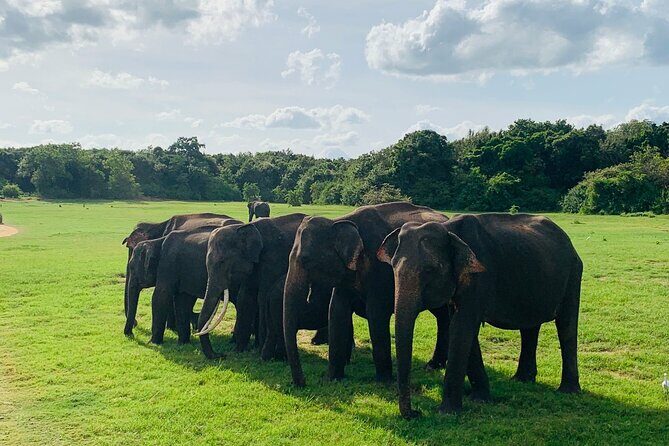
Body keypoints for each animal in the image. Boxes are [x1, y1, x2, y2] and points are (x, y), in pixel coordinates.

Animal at [195, 213, 330, 361]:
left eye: (222, 262)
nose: (221, 355)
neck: (244, 228)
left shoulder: (273, 260)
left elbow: (263, 297)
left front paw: (258, 352)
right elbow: (245, 298)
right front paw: (239, 350)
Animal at [283, 202, 450, 387]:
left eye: (305, 260)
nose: (303, 383)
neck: (339, 221)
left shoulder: (379, 270)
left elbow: (376, 315)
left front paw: (384, 383)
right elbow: (337, 312)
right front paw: (332, 379)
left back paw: (433, 365)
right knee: (442, 314)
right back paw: (435, 365)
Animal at [377, 213, 583, 418]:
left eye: (429, 270)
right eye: (393, 267)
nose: (416, 413)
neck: (448, 228)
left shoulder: (478, 277)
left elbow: (462, 326)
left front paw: (447, 412)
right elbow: (460, 327)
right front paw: (480, 398)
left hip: (573, 274)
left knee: (566, 325)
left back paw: (567, 391)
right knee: (530, 327)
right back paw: (522, 380)